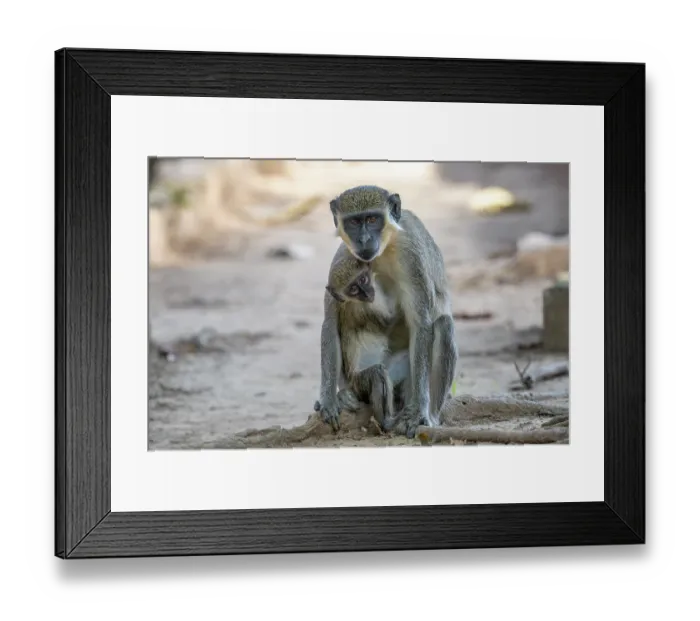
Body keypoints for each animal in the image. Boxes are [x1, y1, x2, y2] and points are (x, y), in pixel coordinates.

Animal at [314, 245, 410, 432]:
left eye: (363, 279)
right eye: (353, 289)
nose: (366, 293)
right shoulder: (366, 308)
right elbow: (388, 324)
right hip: (359, 385)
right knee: (377, 373)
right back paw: (386, 422)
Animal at [327, 185, 458, 438]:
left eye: (372, 219)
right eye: (354, 222)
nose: (364, 239)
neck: (385, 249)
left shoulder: (411, 256)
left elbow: (421, 323)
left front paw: (419, 413)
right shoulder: (343, 256)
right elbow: (330, 324)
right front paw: (330, 399)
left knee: (443, 326)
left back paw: (429, 416)